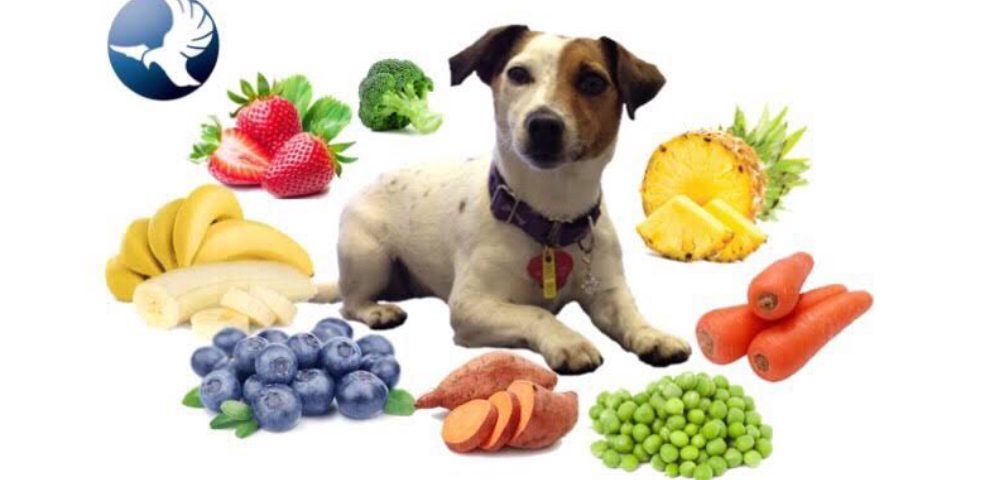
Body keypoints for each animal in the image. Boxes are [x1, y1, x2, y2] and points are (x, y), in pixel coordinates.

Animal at [328, 25, 688, 376]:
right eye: (518, 74)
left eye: (593, 82)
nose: (543, 124)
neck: (551, 218)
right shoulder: (471, 305)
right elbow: (536, 313)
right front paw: (569, 341)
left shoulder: (607, 292)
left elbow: (630, 315)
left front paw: (653, 336)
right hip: (368, 256)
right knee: (350, 304)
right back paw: (376, 310)